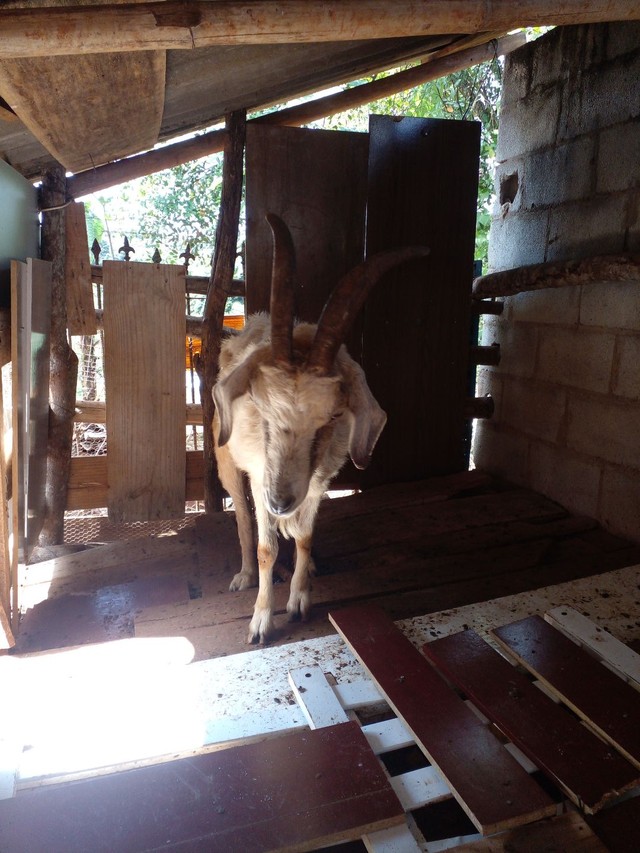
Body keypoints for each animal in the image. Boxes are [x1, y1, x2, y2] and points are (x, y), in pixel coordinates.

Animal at [212, 213, 428, 640]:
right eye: (260, 406)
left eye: (331, 417)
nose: (280, 501)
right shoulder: (262, 474)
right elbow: (266, 547)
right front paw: (261, 620)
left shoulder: (318, 478)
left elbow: (307, 535)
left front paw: (299, 598)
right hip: (228, 460)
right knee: (242, 517)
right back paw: (244, 574)